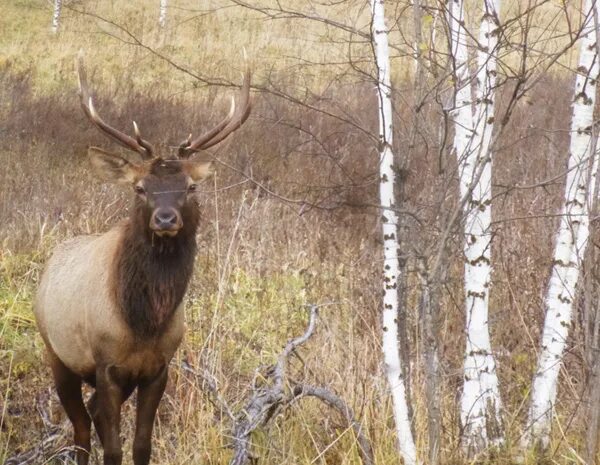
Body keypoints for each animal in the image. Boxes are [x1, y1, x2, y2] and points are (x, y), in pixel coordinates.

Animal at [34, 56, 251, 464]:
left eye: (190, 187)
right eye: (139, 188)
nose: (165, 218)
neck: (143, 323)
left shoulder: (158, 368)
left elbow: (141, 446)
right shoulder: (106, 366)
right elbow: (113, 449)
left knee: (90, 417)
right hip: (57, 354)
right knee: (81, 430)